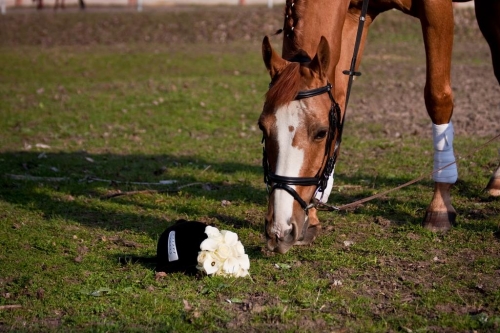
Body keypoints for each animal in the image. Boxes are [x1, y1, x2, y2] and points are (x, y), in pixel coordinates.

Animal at [262, 0, 500, 252]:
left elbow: (437, 97)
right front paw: (314, 213)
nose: (280, 230)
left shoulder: (437, 8)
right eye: (262, 128)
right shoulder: (354, 14)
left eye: (321, 133)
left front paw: (440, 207)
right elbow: (339, 95)